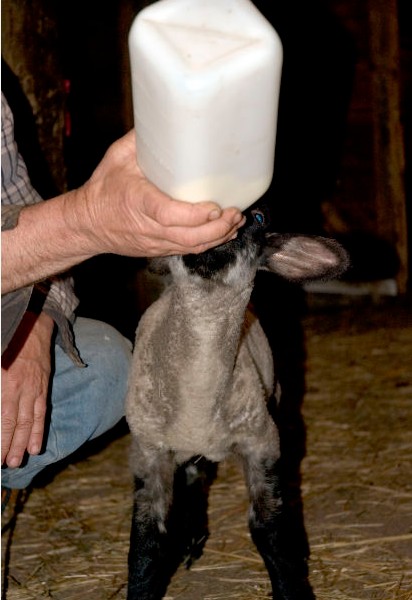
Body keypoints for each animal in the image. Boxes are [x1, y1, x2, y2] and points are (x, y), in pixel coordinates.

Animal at [124, 204, 348, 596]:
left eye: (258, 219)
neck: (198, 397)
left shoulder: (260, 442)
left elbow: (269, 529)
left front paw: (291, 583)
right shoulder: (148, 452)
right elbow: (147, 541)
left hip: (273, 399)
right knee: (194, 477)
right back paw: (192, 541)